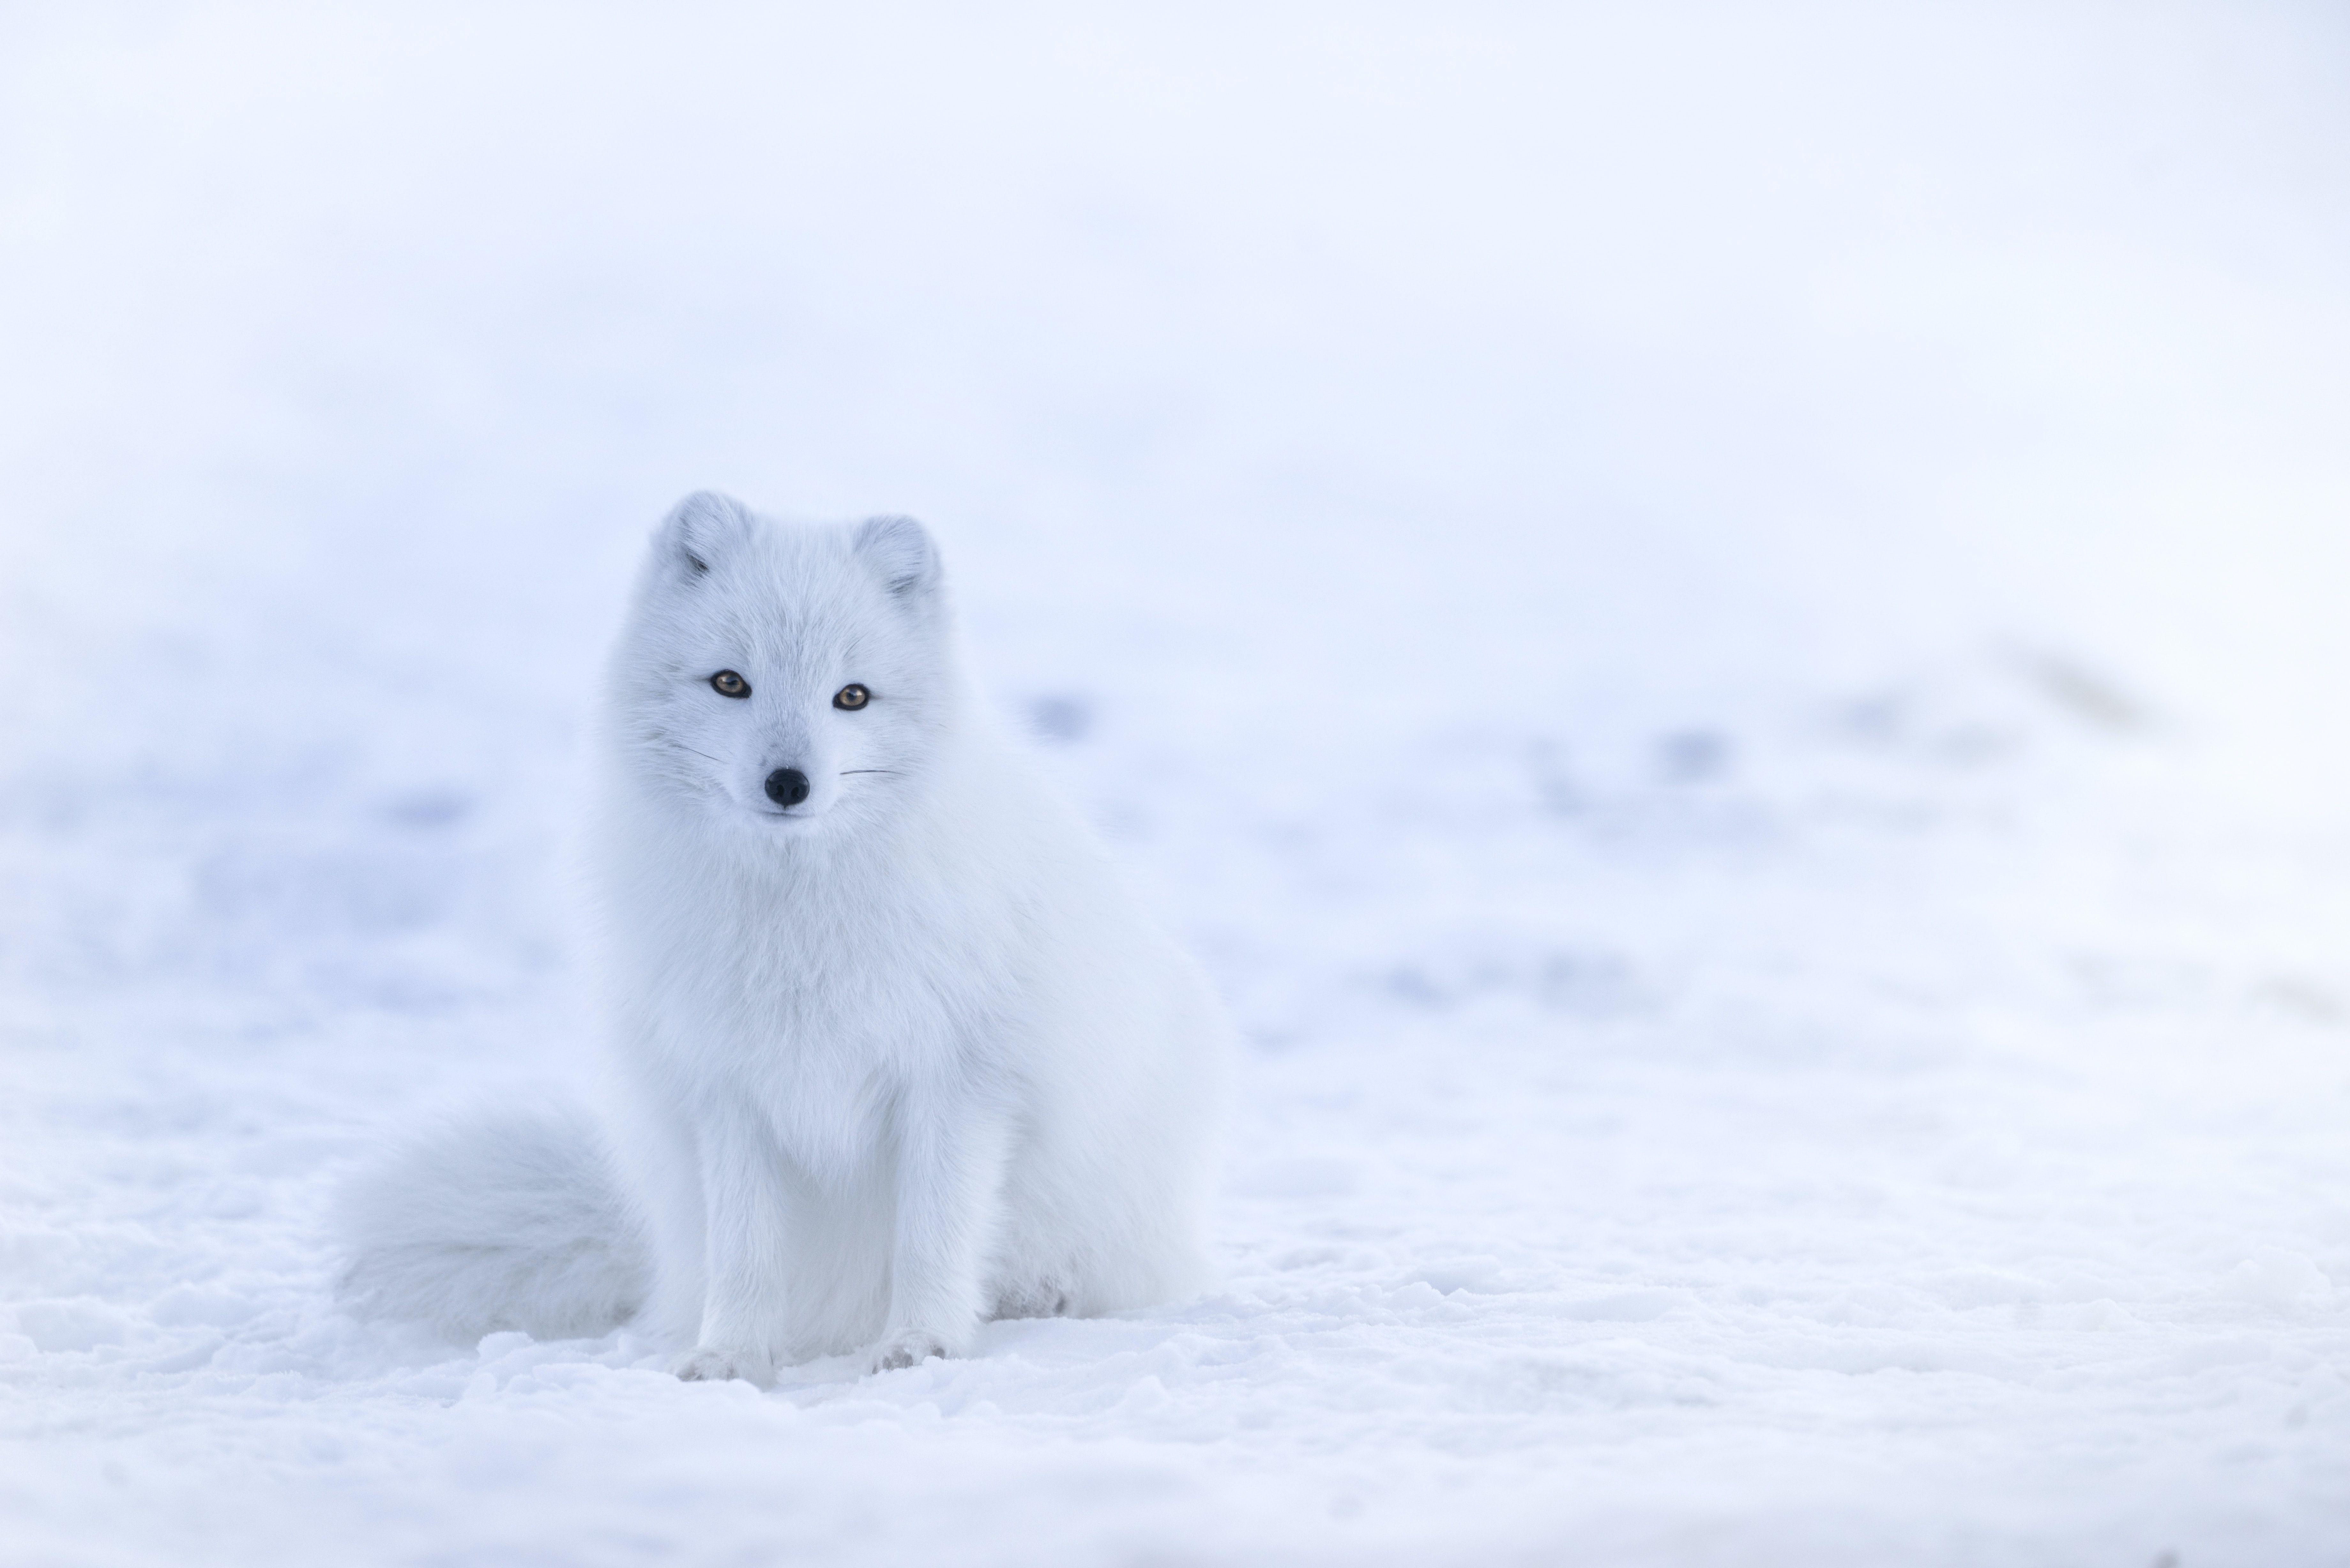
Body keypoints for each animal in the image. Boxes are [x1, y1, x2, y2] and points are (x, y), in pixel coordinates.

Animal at [343, 494, 1250, 1382]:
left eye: (852, 696)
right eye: (730, 682)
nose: (788, 782)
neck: (799, 918)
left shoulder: (959, 1079)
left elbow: (933, 1233)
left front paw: (923, 1344)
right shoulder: (729, 1087)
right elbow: (746, 1249)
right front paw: (732, 1356)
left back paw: (1041, 1294)